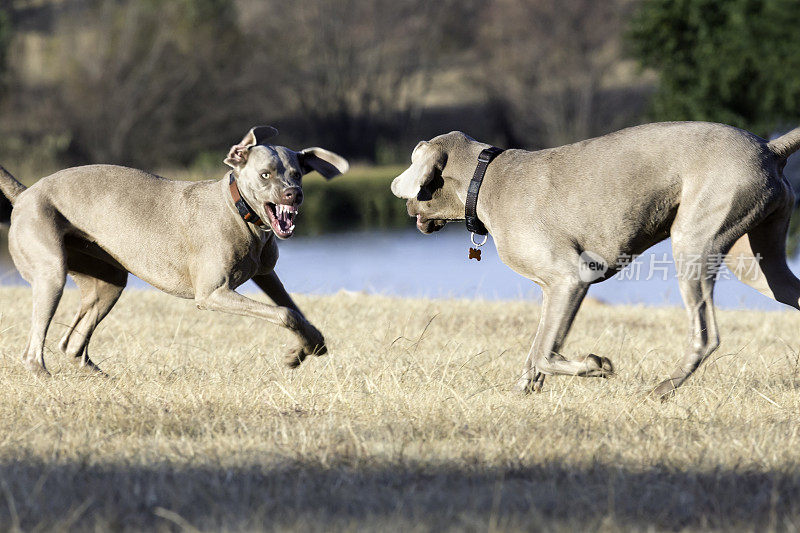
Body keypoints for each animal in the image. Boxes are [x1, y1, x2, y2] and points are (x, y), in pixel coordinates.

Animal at [1, 125, 348, 374]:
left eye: (297, 174)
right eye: (265, 174)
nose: (294, 194)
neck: (239, 212)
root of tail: (25, 193)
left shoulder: (265, 273)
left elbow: (294, 309)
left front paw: (307, 347)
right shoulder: (212, 293)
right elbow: (284, 312)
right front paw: (296, 353)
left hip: (108, 281)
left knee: (72, 344)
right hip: (51, 272)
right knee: (33, 350)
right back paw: (44, 375)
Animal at [390, 122, 800, 396]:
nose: (407, 206)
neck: (485, 179)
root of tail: (770, 147)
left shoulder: (571, 277)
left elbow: (545, 352)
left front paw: (595, 366)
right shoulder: (553, 288)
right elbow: (540, 344)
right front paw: (524, 389)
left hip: (695, 239)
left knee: (706, 334)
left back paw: (661, 390)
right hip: (756, 259)